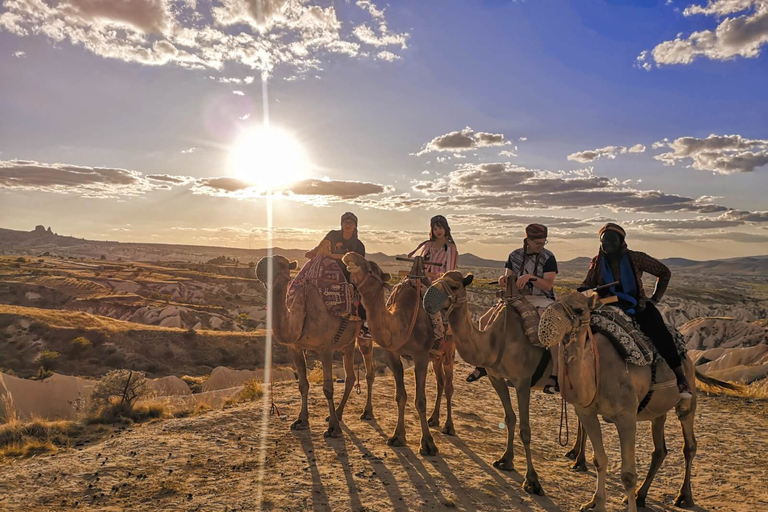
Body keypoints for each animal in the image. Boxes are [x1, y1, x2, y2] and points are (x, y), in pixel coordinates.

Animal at [256, 254, 376, 438]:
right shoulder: (295, 348)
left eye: (282, 263)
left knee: (369, 371)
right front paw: (301, 421)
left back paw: (367, 412)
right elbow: (303, 385)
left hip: (364, 335)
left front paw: (334, 429)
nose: (261, 265)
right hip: (347, 343)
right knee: (350, 375)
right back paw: (339, 413)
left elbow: (328, 388)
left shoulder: (325, 348)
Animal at [342, 252, 456, 456]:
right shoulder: (393, 355)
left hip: (449, 351)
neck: (403, 321)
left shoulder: (421, 356)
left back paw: (449, 427)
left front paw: (428, 444)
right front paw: (397, 437)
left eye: (372, 267)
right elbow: (400, 396)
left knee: (449, 386)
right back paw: (434, 419)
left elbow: (420, 400)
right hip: (436, 356)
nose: (350, 255)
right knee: (441, 383)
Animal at [420, 270, 552, 494]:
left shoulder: (523, 381)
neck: (497, 340)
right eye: (436, 279)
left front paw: (532, 480)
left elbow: (525, 428)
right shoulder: (496, 377)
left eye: (454, 286)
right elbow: (510, 418)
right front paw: (506, 460)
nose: (427, 300)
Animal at [536, 292, 736, 512]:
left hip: (687, 400)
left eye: (579, 310)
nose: (545, 325)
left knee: (689, 444)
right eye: (555, 301)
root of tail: (689, 360)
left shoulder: (626, 417)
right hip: (657, 412)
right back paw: (641, 496)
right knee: (659, 451)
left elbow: (628, 475)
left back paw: (684, 497)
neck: (597, 371)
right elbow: (599, 460)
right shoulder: (586, 412)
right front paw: (595, 502)